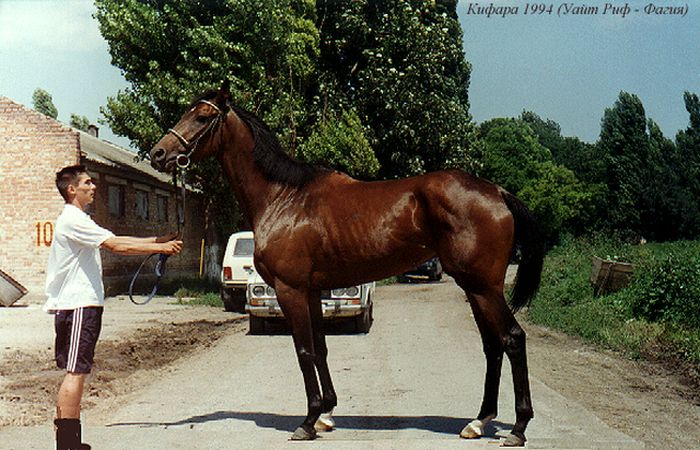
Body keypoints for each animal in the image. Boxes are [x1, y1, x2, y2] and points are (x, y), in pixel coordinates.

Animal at [149, 83, 548, 446]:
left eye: (202, 117)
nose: (158, 152)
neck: (284, 198)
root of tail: (498, 193)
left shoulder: (290, 290)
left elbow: (303, 350)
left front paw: (307, 422)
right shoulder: (311, 291)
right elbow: (321, 347)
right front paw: (326, 414)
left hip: (483, 288)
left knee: (512, 339)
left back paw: (517, 428)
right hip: (475, 288)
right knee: (492, 346)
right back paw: (478, 422)